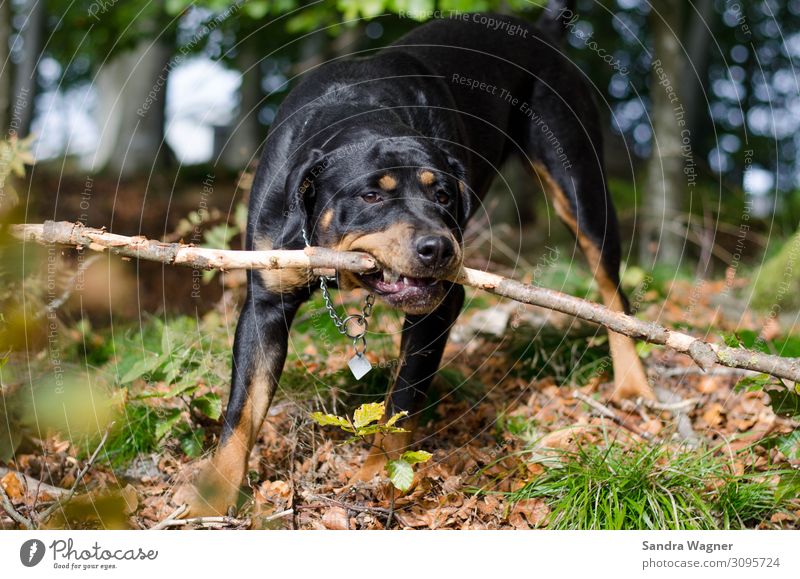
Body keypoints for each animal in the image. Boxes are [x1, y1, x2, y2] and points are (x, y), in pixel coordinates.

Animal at [183, 0, 656, 516]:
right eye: (371, 195)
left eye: (444, 195)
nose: (440, 248)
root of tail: (543, 29)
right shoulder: (266, 303)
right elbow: (241, 411)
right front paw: (209, 501)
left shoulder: (440, 307)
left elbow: (401, 402)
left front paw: (378, 479)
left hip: (581, 187)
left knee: (613, 292)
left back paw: (634, 386)